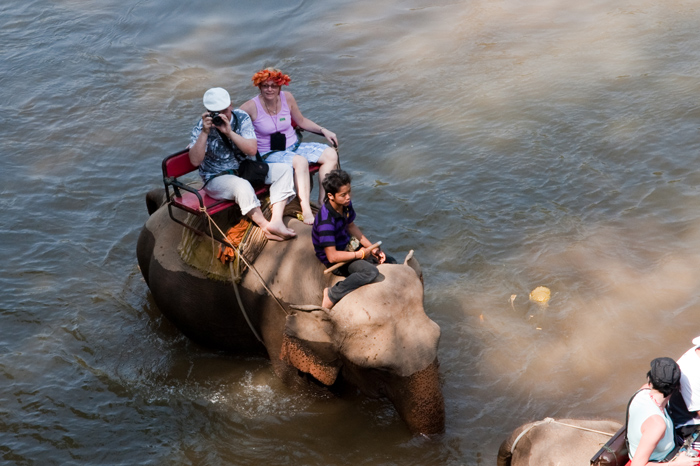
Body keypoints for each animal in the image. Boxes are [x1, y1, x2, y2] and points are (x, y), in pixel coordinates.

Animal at [136, 191, 445, 436]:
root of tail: (162, 203)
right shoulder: (276, 318)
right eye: (378, 369)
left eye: (438, 339)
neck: (327, 278)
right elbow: (302, 389)